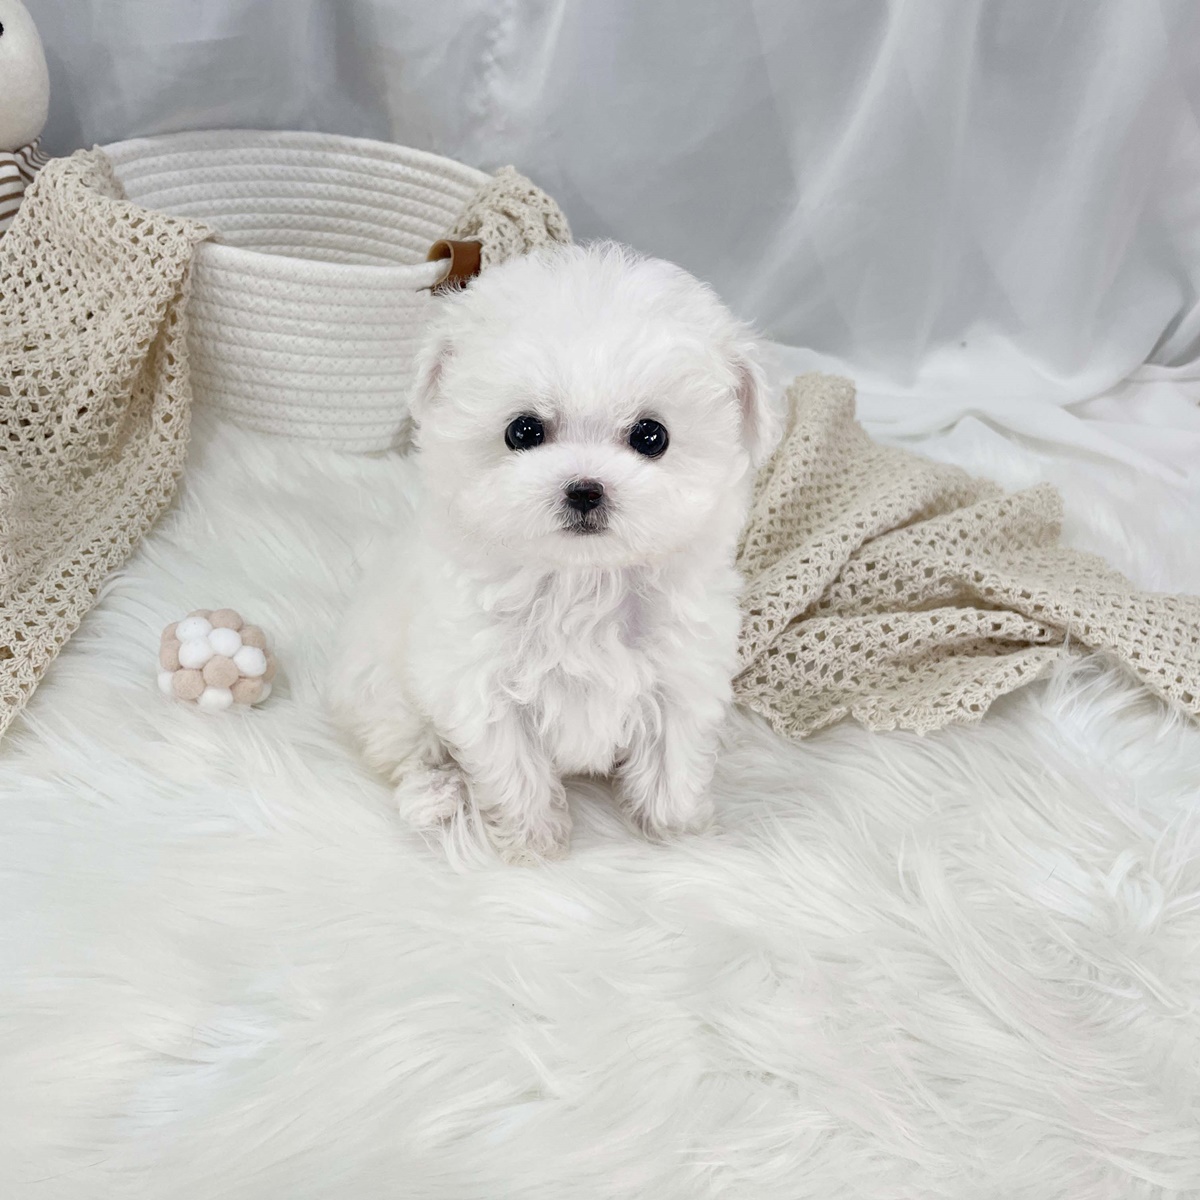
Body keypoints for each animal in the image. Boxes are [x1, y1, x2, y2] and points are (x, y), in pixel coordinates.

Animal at [330, 242, 779, 862]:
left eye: (651, 436)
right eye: (523, 431)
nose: (585, 489)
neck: (582, 581)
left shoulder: (680, 680)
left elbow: (673, 765)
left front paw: (679, 838)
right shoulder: (483, 687)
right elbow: (515, 770)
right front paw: (533, 846)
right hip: (383, 686)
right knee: (408, 747)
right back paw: (436, 795)